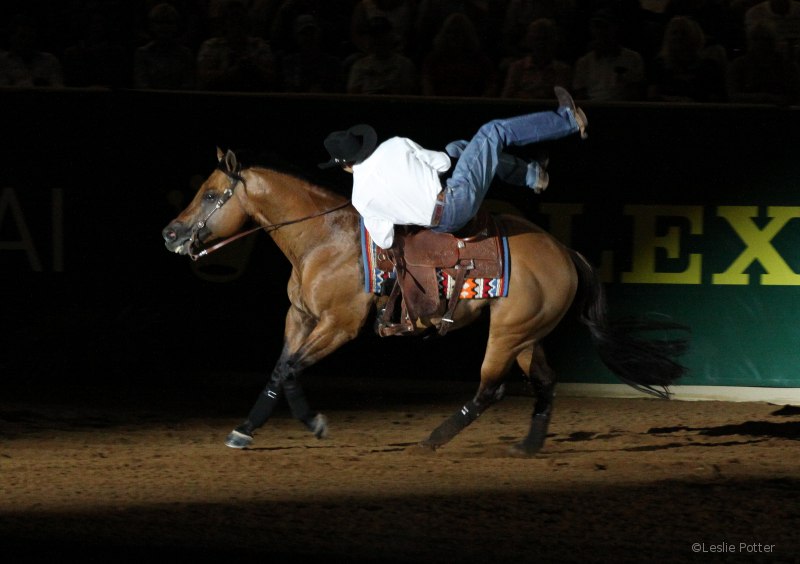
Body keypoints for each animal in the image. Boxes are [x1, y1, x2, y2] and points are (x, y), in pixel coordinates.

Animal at [161, 148, 688, 456]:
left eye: (210, 194)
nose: (170, 233)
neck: (323, 240)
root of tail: (564, 251)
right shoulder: (300, 318)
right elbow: (277, 371)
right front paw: (244, 430)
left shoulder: (338, 325)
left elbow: (291, 370)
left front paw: (315, 423)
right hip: (527, 334)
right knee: (544, 382)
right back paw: (527, 445)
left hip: (508, 332)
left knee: (490, 389)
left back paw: (434, 439)